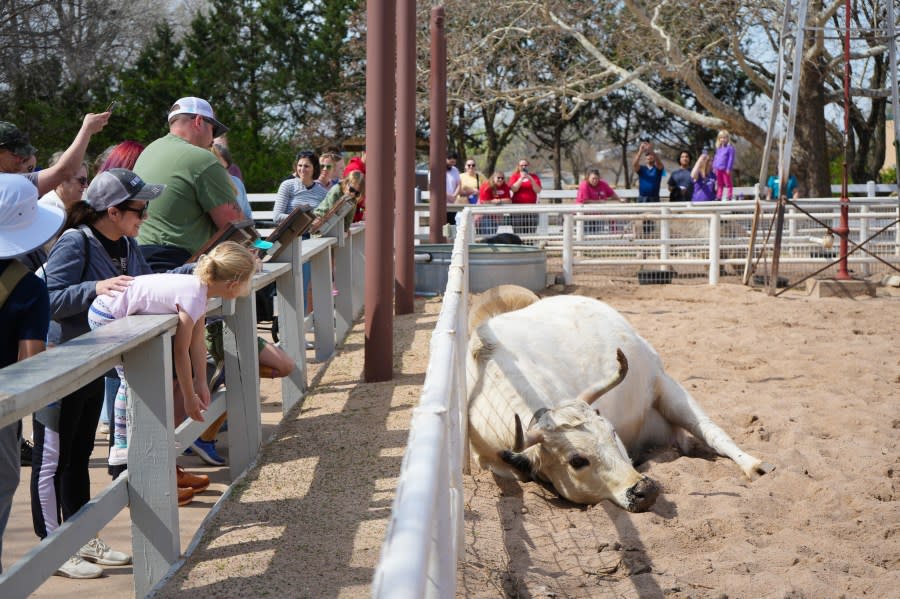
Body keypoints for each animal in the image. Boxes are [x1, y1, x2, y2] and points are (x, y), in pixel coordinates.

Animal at [464, 284, 772, 510]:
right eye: (577, 460)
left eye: (613, 433)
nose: (645, 490)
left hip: (666, 386)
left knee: (711, 430)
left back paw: (753, 465)